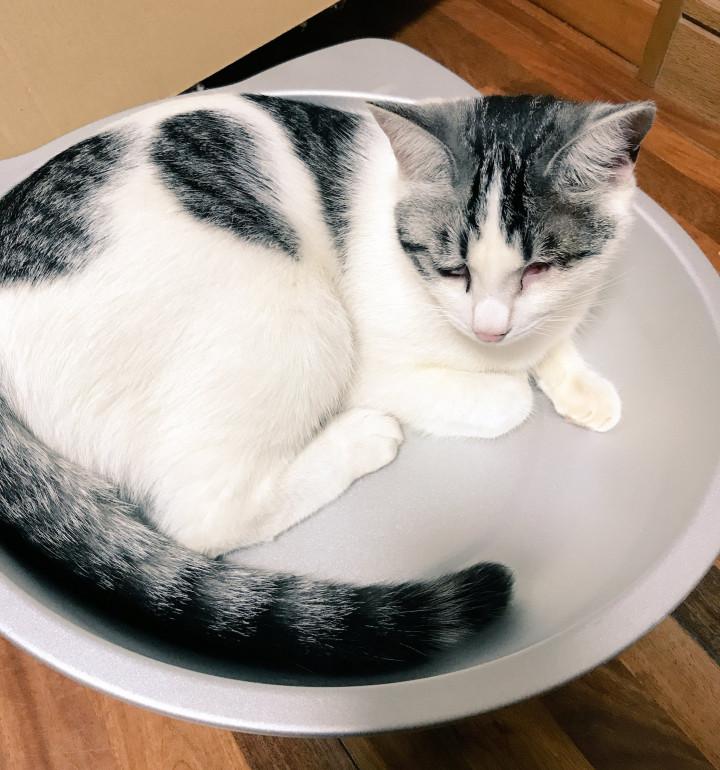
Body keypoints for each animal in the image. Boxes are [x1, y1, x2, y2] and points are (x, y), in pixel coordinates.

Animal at [0, 92, 654, 672]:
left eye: (539, 268)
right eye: (453, 270)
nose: (490, 326)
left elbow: (549, 338)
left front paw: (581, 386)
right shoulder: (375, 363)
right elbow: (507, 397)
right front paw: (511, 381)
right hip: (299, 315)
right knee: (203, 515)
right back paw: (361, 439)